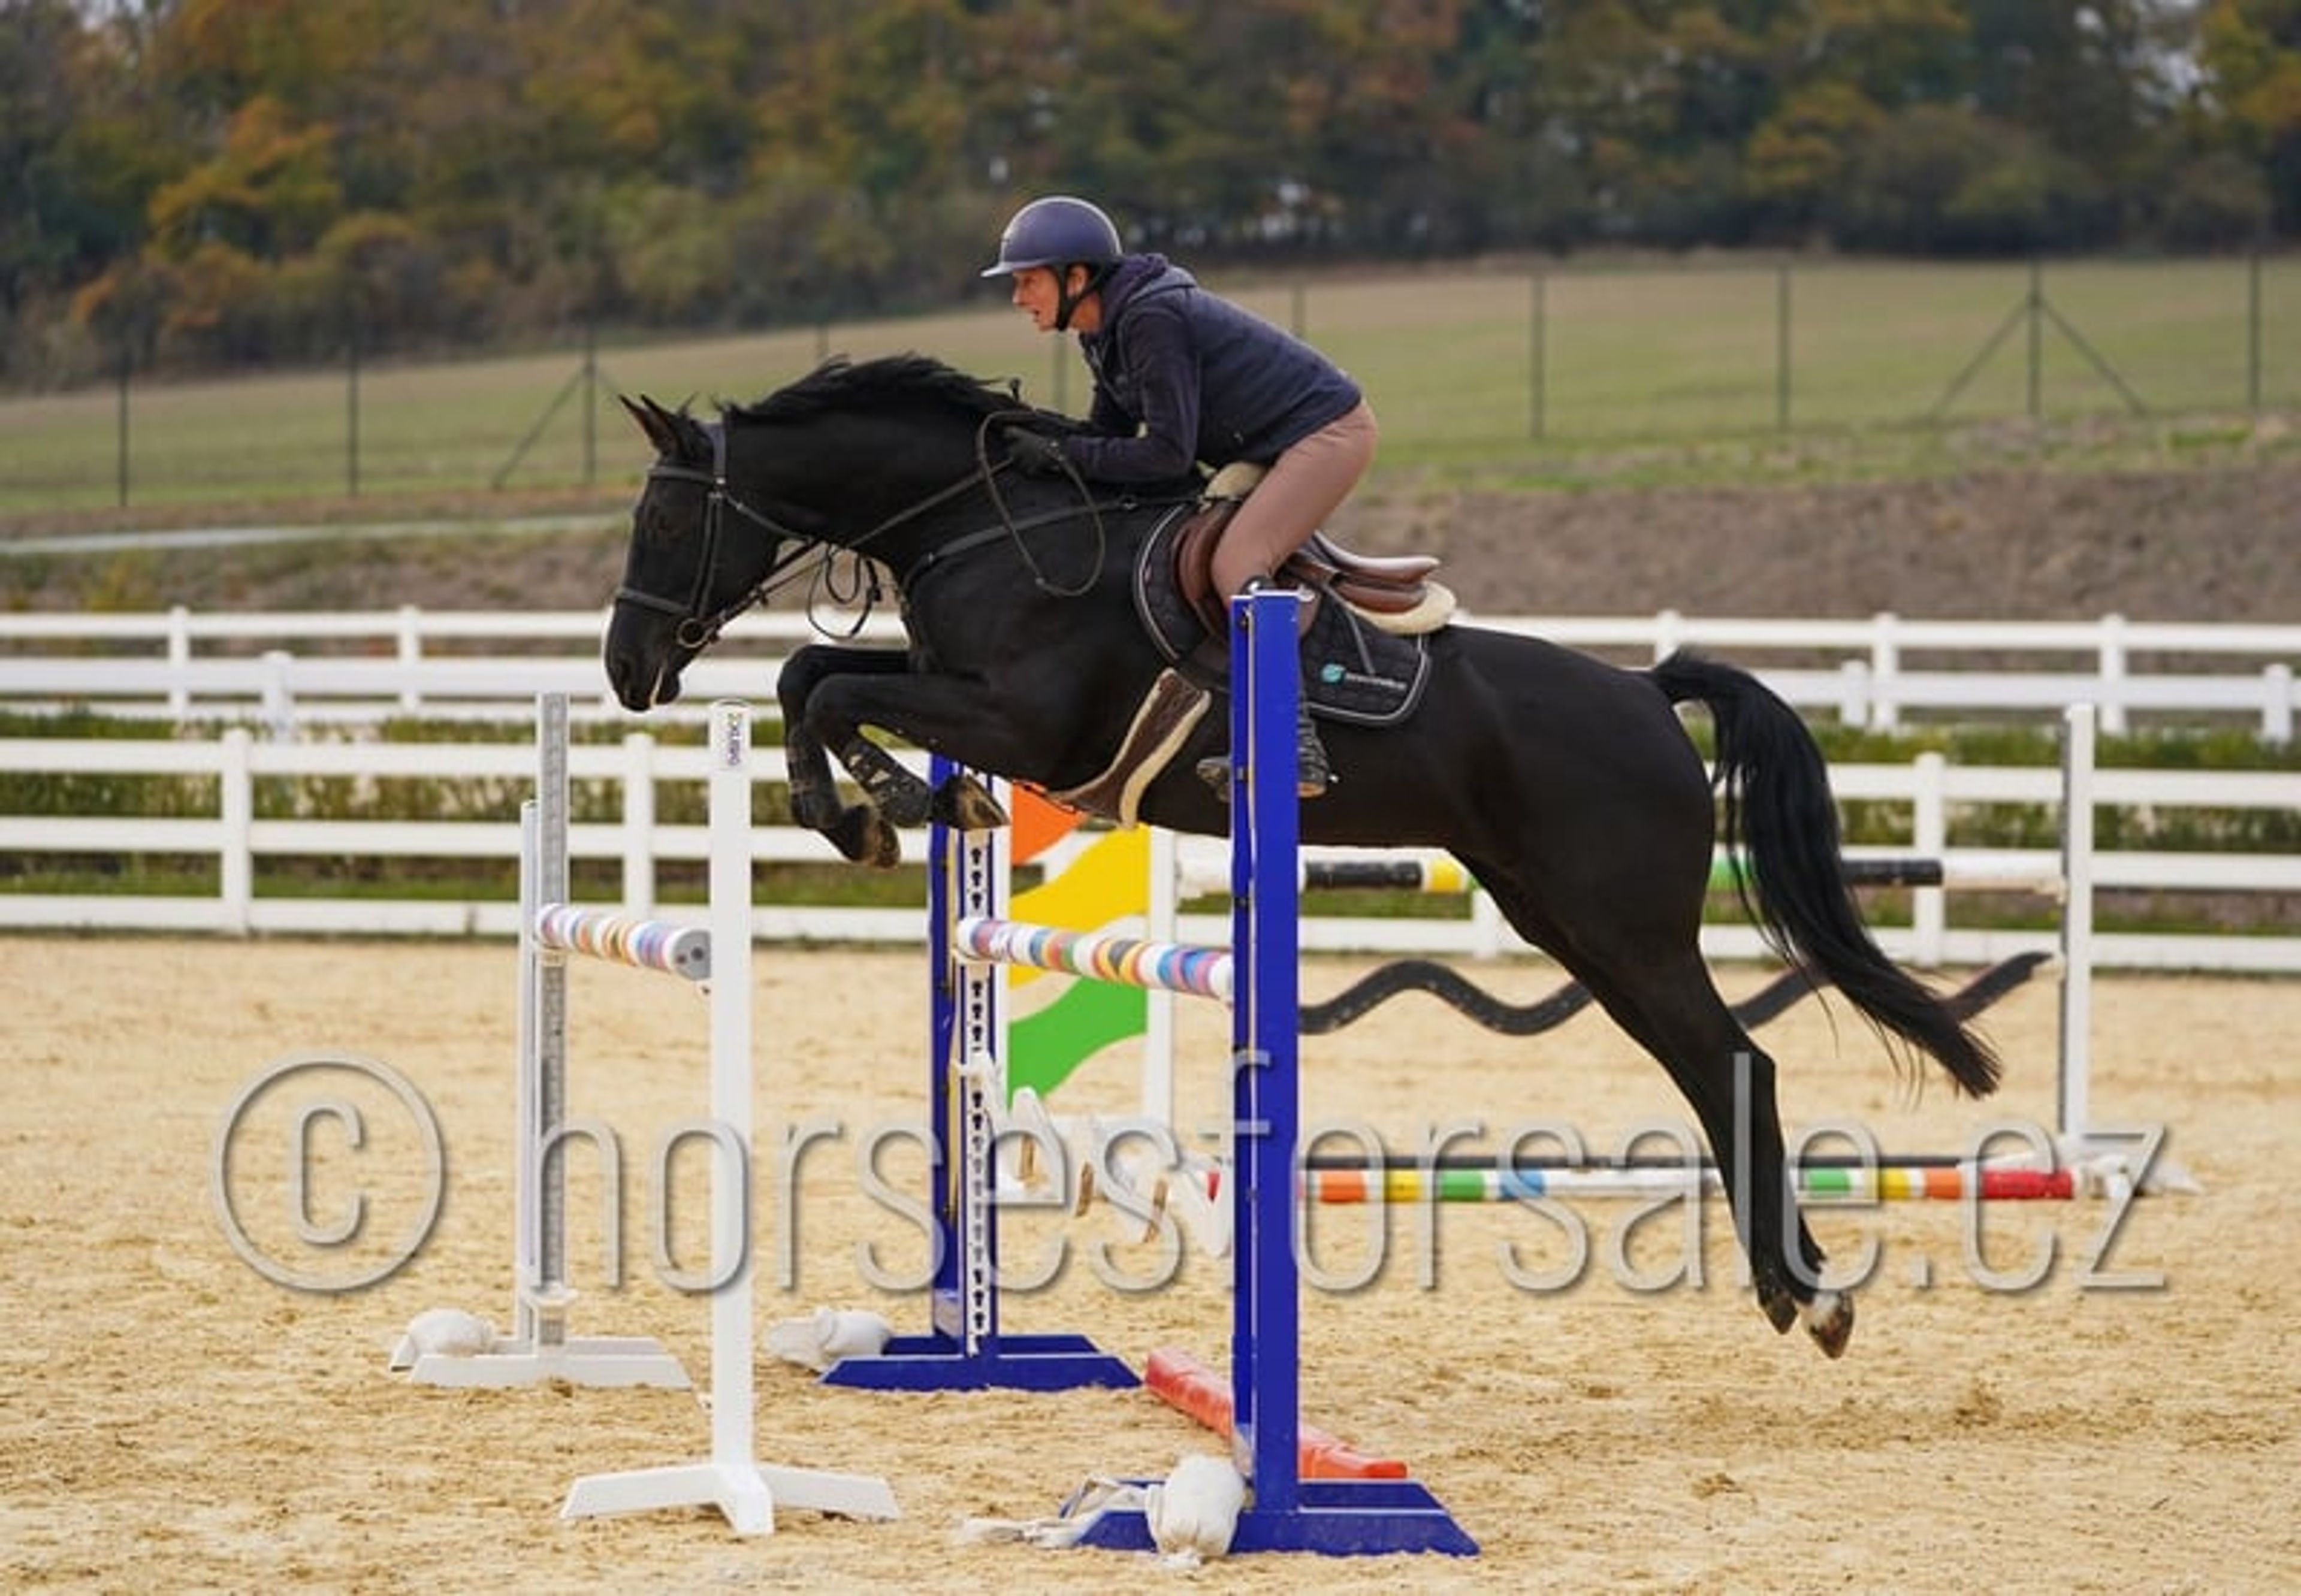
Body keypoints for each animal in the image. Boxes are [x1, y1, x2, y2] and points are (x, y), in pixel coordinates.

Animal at [603, 352, 2002, 1359]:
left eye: (665, 523)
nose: (625, 671)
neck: (989, 526)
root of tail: (1648, 693)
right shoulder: (962, 695)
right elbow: (813, 672)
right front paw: (883, 807)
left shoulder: (1021, 723)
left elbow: (828, 684)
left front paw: (874, 807)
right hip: (1565, 921)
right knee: (1707, 1070)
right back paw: (1790, 1292)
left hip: (1623, 924)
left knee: (1735, 1064)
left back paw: (1811, 1295)